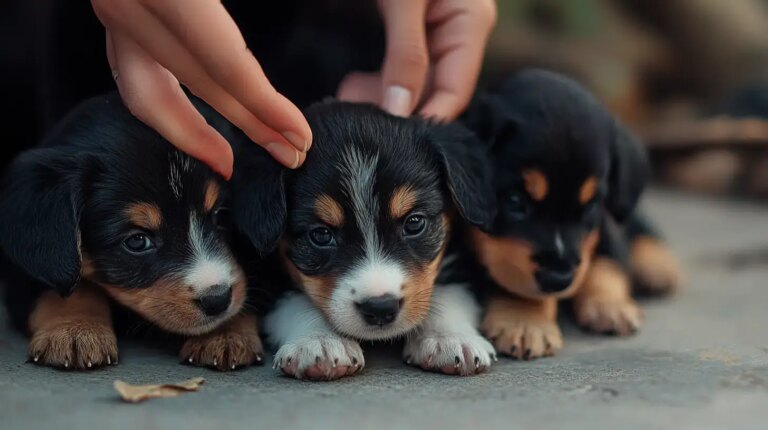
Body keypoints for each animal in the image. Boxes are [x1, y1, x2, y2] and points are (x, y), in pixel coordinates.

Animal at [0, 94, 278, 370]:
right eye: (137, 241)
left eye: (221, 215)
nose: (217, 300)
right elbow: (67, 287)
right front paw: (75, 331)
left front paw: (225, 334)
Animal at [234, 101, 496, 380]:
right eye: (321, 235)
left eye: (414, 223)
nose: (380, 308)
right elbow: (294, 301)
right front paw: (320, 341)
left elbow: (449, 294)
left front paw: (449, 339)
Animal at [462, 69, 684, 360]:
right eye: (514, 200)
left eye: (590, 206)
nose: (560, 279)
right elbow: (514, 284)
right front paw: (525, 322)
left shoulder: (605, 227)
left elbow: (607, 263)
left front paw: (610, 306)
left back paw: (657, 265)